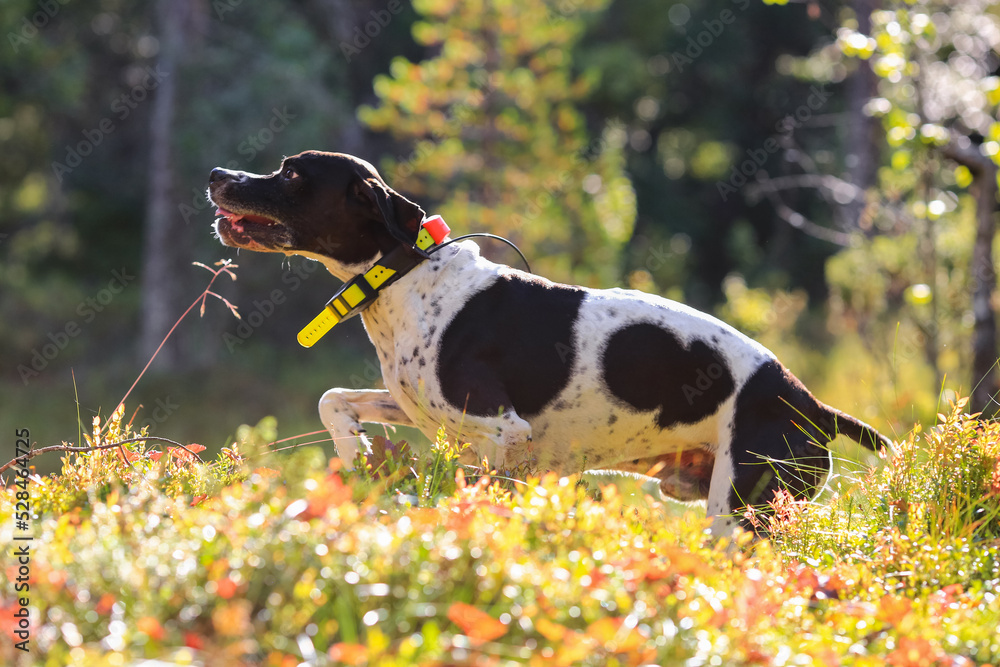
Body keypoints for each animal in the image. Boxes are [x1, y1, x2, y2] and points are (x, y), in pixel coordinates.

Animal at [205, 150, 892, 532]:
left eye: (293, 173)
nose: (216, 174)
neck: (408, 276)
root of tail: (811, 404)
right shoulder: (414, 405)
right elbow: (333, 401)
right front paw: (356, 453)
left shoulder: (498, 433)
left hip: (742, 518)